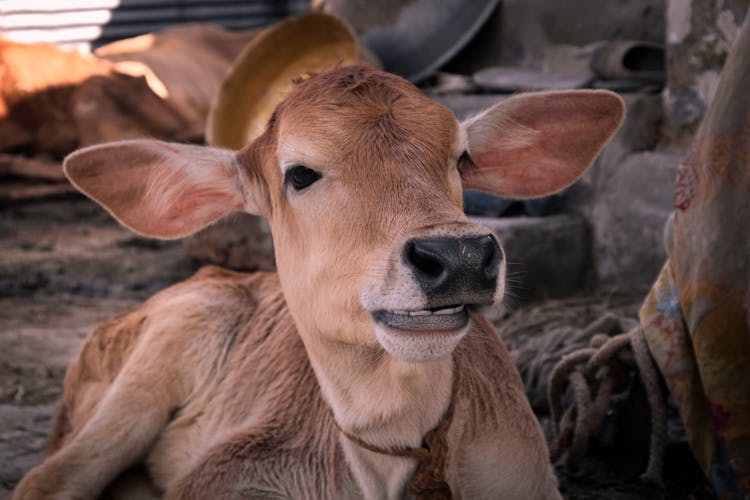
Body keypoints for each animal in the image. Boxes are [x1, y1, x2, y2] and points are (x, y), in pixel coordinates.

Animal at [11, 66, 624, 500]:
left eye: (461, 158)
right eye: (300, 173)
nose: (460, 255)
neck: (390, 450)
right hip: (164, 347)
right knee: (47, 479)